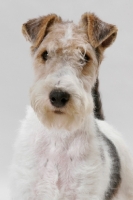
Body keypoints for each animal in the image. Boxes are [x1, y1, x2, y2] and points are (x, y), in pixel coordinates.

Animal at [10, 12, 133, 200]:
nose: (58, 96)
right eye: (45, 54)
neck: (58, 132)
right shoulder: (26, 189)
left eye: (85, 57)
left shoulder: (84, 192)